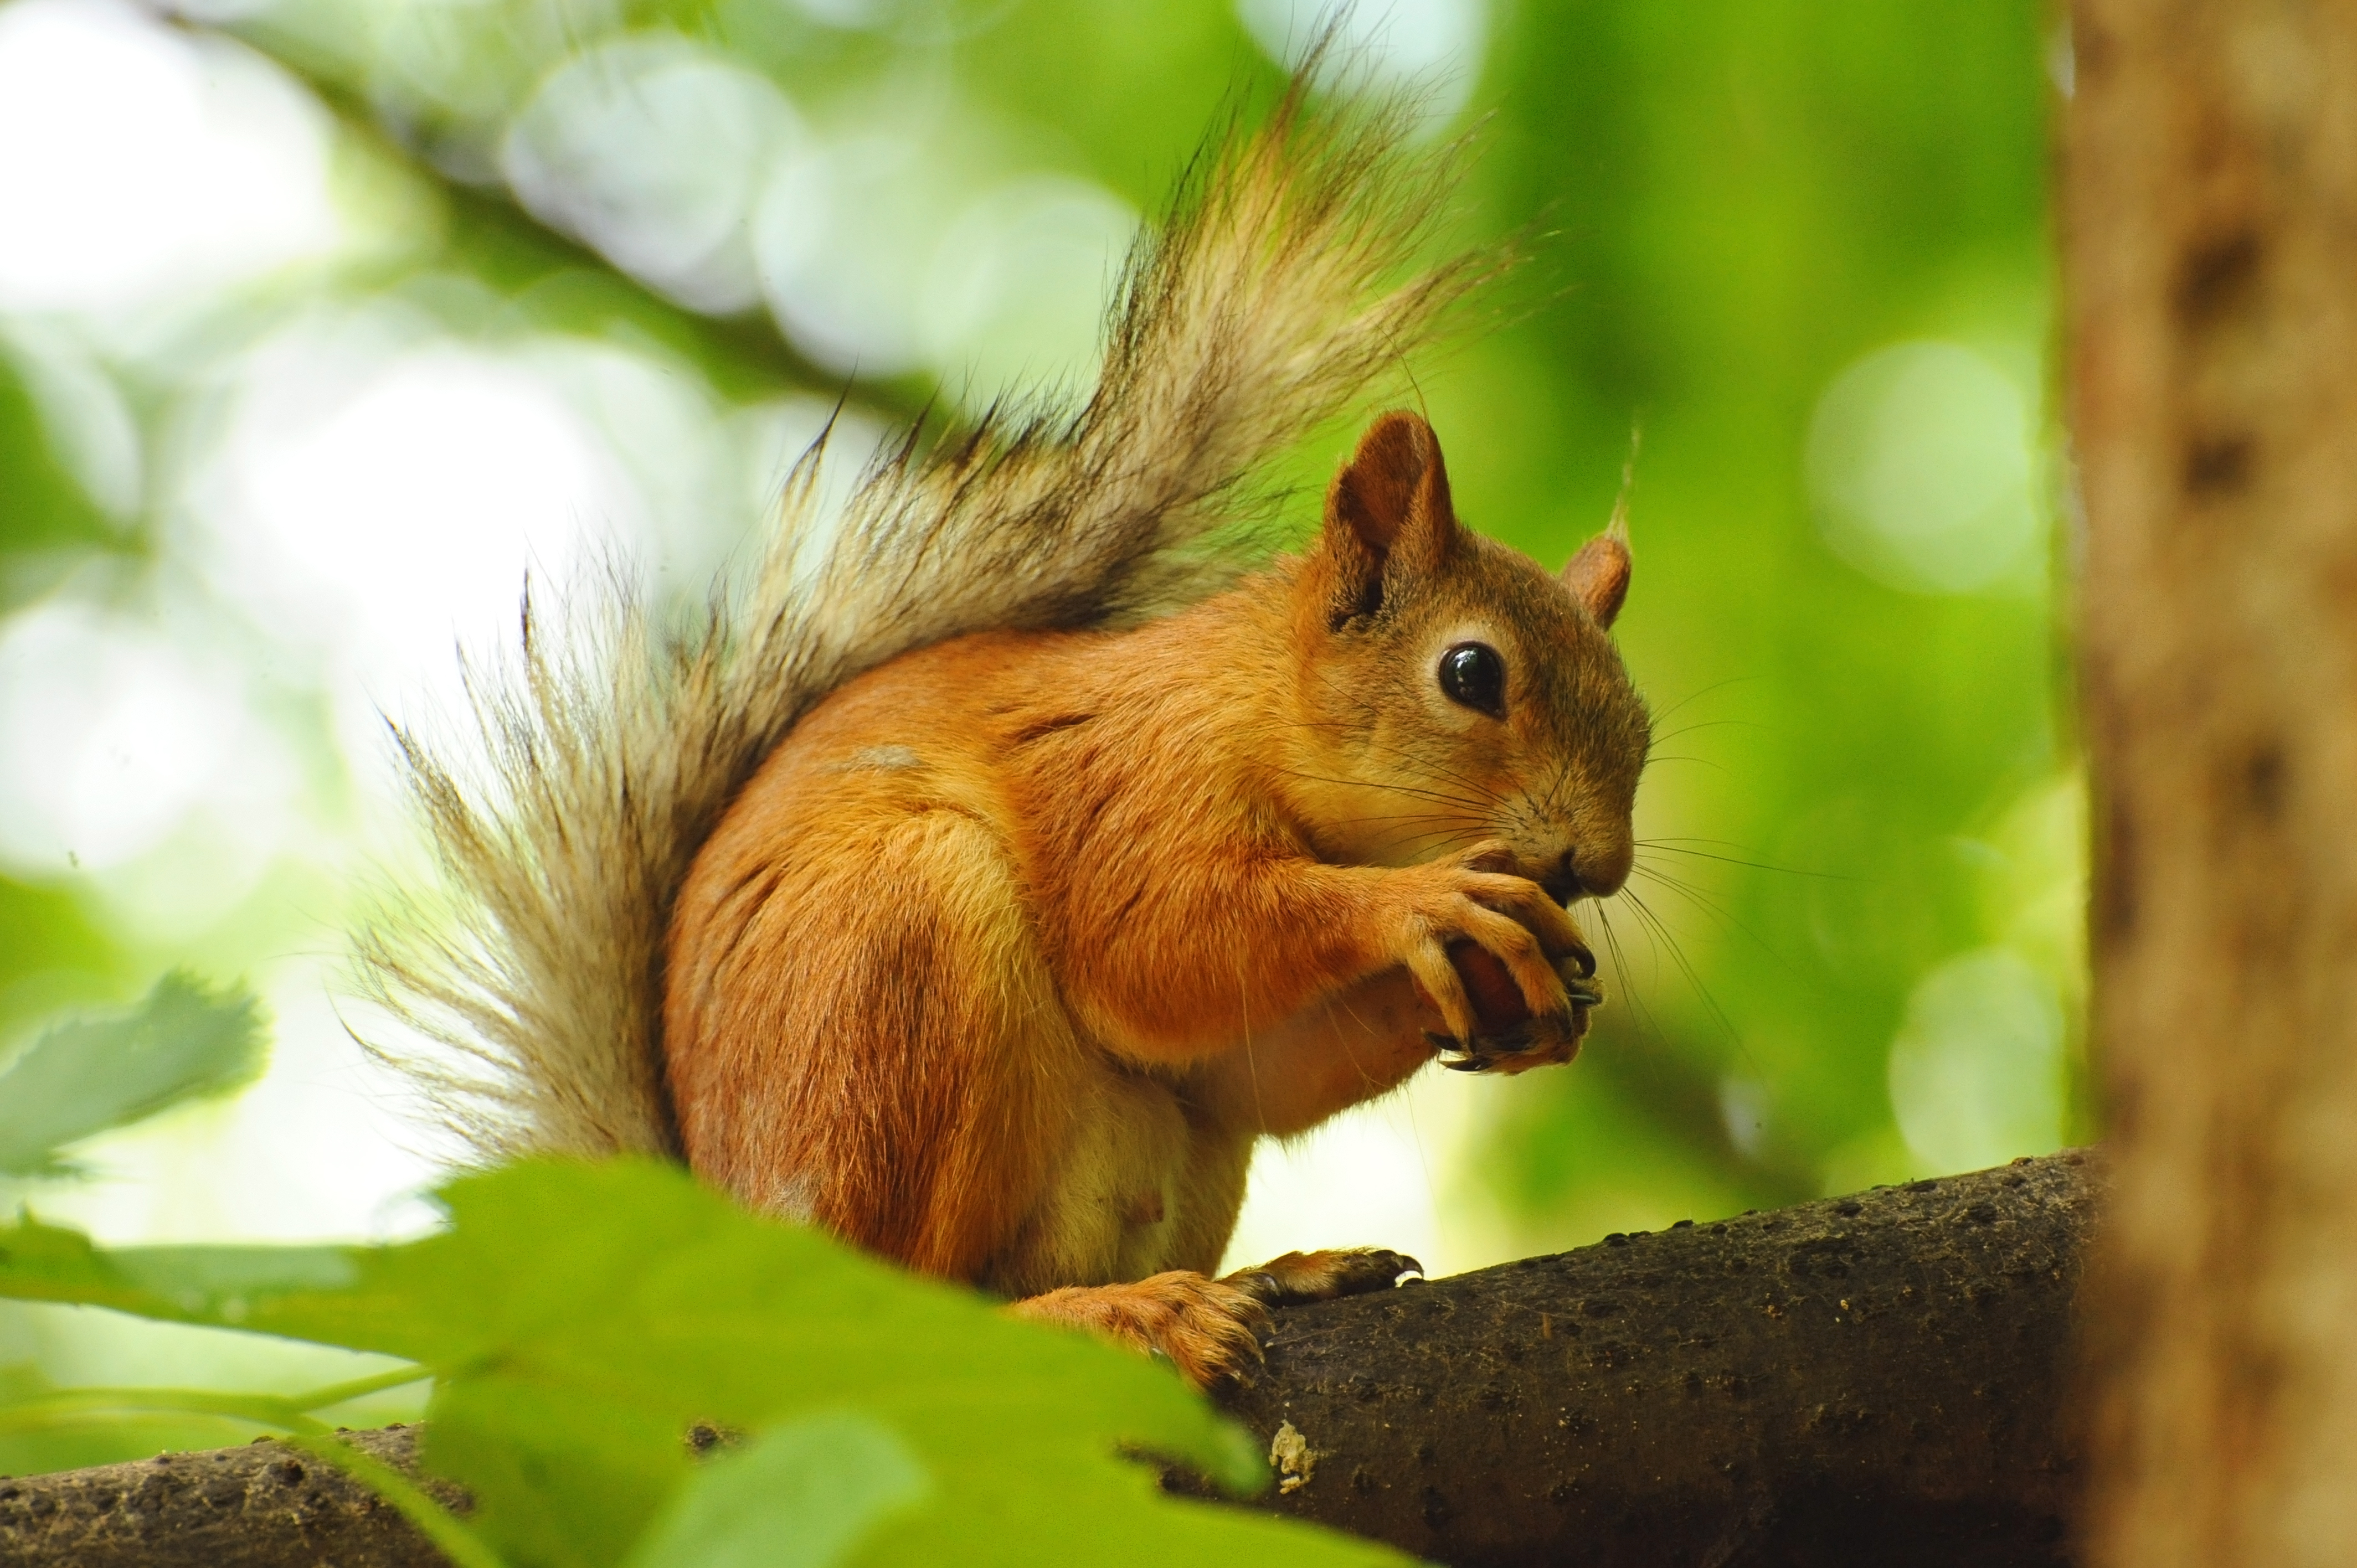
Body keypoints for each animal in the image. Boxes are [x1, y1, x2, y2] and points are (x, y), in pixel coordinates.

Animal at [353, 64, 1640, 1386]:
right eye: (1472, 672)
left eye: (1638, 715)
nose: (1597, 864)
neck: (1247, 703)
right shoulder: (1122, 778)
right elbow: (1157, 943)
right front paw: (1427, 904)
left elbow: (1249, 1067)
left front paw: (1529, 997)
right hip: (900, 967)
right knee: (908, 1309)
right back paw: (1117, 1314)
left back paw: (1273, 1275)